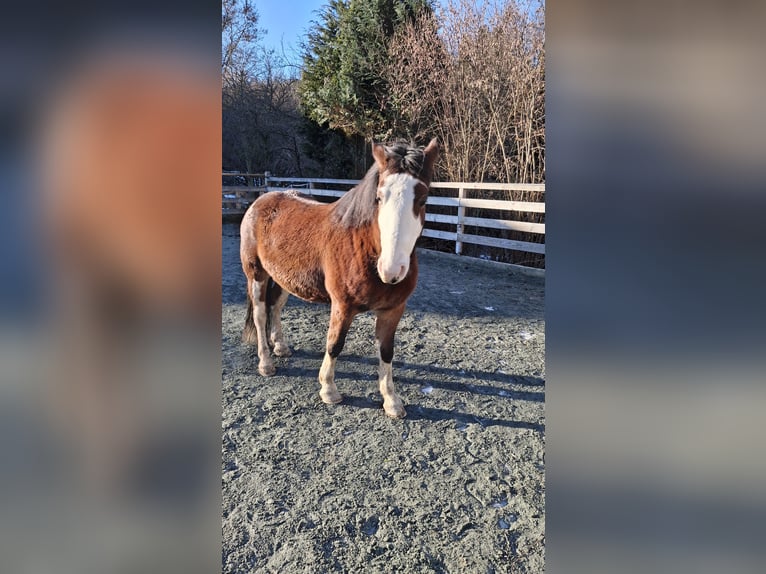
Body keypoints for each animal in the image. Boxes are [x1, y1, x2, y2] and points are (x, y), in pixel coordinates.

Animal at [240, 138, 439, 418]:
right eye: (379, 197)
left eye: (422, 199)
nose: (391, 270)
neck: (364, 248)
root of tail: (261, 200)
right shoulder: (342, 306)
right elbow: (335, 344)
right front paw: (328, 390)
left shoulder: (393, 310)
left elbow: (386, 351)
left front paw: (391, 400)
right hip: (256, 274)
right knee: (259, 315)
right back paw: (266, 362)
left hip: (282, 279)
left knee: (274, 308)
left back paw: (280, 347)